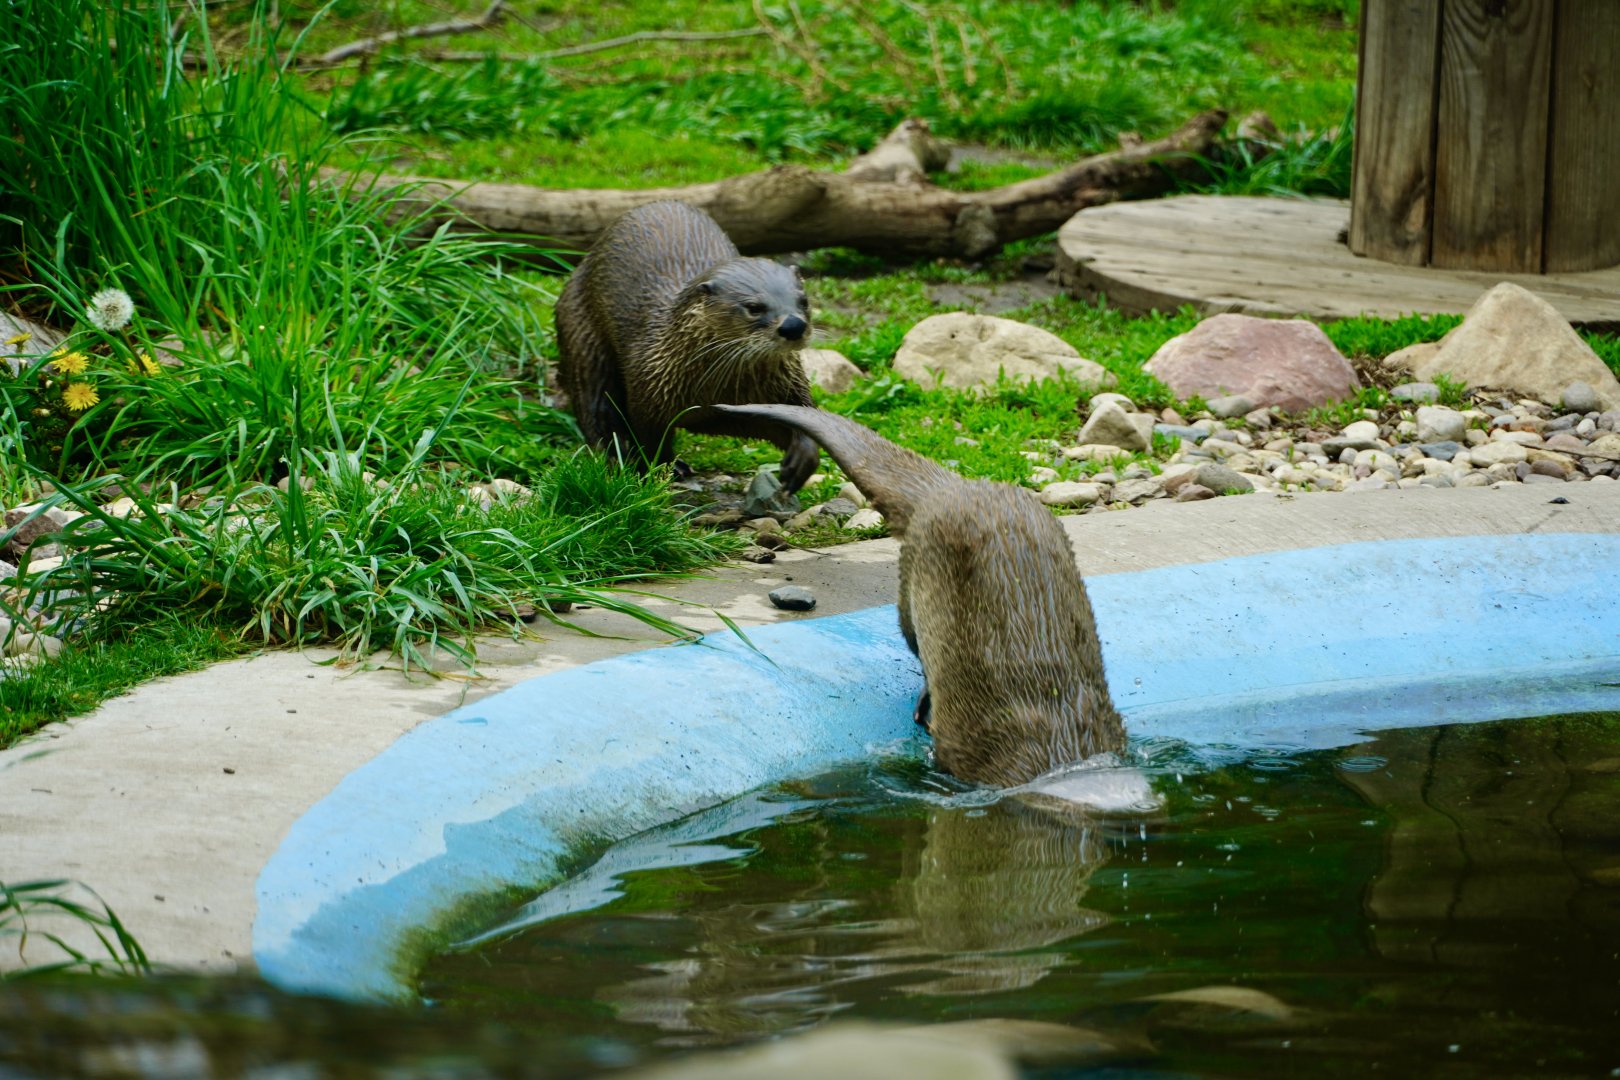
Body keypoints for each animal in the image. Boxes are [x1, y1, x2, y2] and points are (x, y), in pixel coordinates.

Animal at [553, 201, 819, 491]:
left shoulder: (782, 390)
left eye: (803, 300)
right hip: (583, 337)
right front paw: (657, 469)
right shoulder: (647, 393)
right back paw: (615, 456)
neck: (714, 390)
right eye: (753, 307)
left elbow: (804, 418)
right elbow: (649, 439)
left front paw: (803, 457)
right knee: (595, 406)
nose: (793, 325)